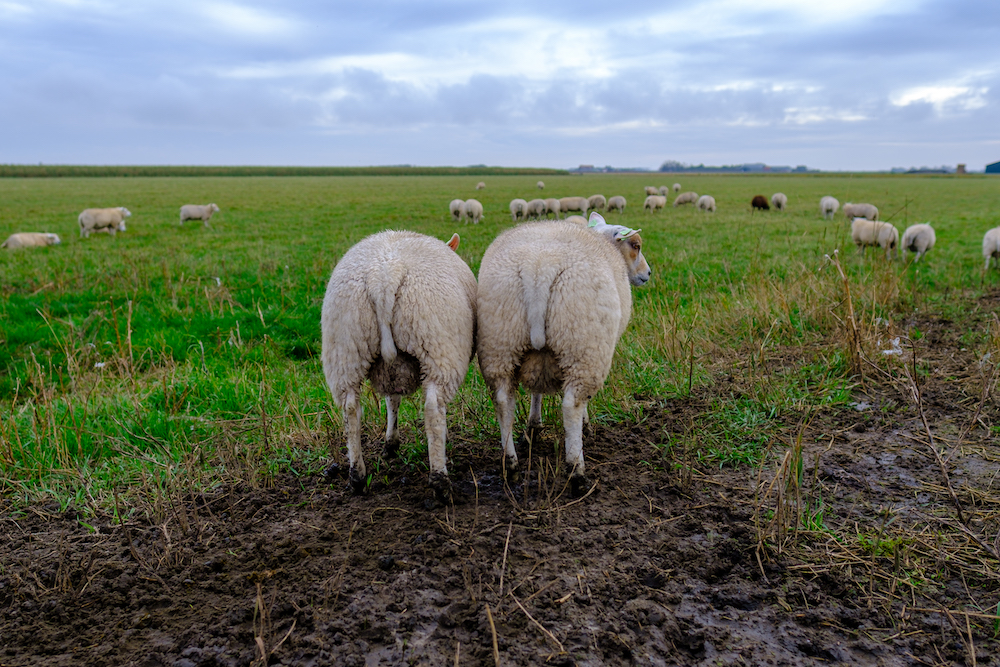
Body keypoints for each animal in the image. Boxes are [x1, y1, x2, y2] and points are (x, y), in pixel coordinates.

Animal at [320, 230, 476, 500]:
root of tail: (384, 276)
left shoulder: (389, 369)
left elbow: (392, 401)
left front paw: (391, 444)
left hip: (345, 349)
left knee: (350, 409)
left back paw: (357, 476)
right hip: (437, 346)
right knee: (433, 408)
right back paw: (440, 481)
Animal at [478, 214, 656, 496]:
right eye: (636, 245)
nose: (647, 274)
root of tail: (538, 269)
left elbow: (536, 391)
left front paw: (534, 425)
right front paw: (586, 424)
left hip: (500, 341)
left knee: (503, 401)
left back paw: (511, 466)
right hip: (582, 344)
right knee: (571, 404)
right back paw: (577, 473)